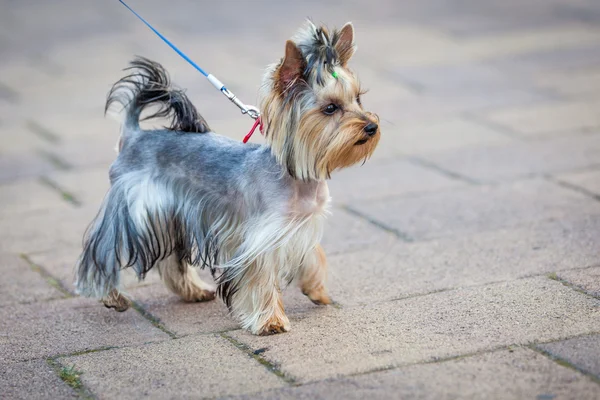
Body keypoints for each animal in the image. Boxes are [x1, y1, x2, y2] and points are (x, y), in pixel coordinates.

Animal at [75, 20, 380, 336]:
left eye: (358, 99)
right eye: (330, 108)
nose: (371, 126)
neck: (298, 176)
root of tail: (134, 134)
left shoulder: (299, 226)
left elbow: (314, 255)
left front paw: (316, 289)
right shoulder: (260, 239)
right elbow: (261, 279)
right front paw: (270, 321)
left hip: (168, 214)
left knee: (169, 259)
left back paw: (193, 290)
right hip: (131, 208)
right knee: (104, 248)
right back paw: (110, 295)